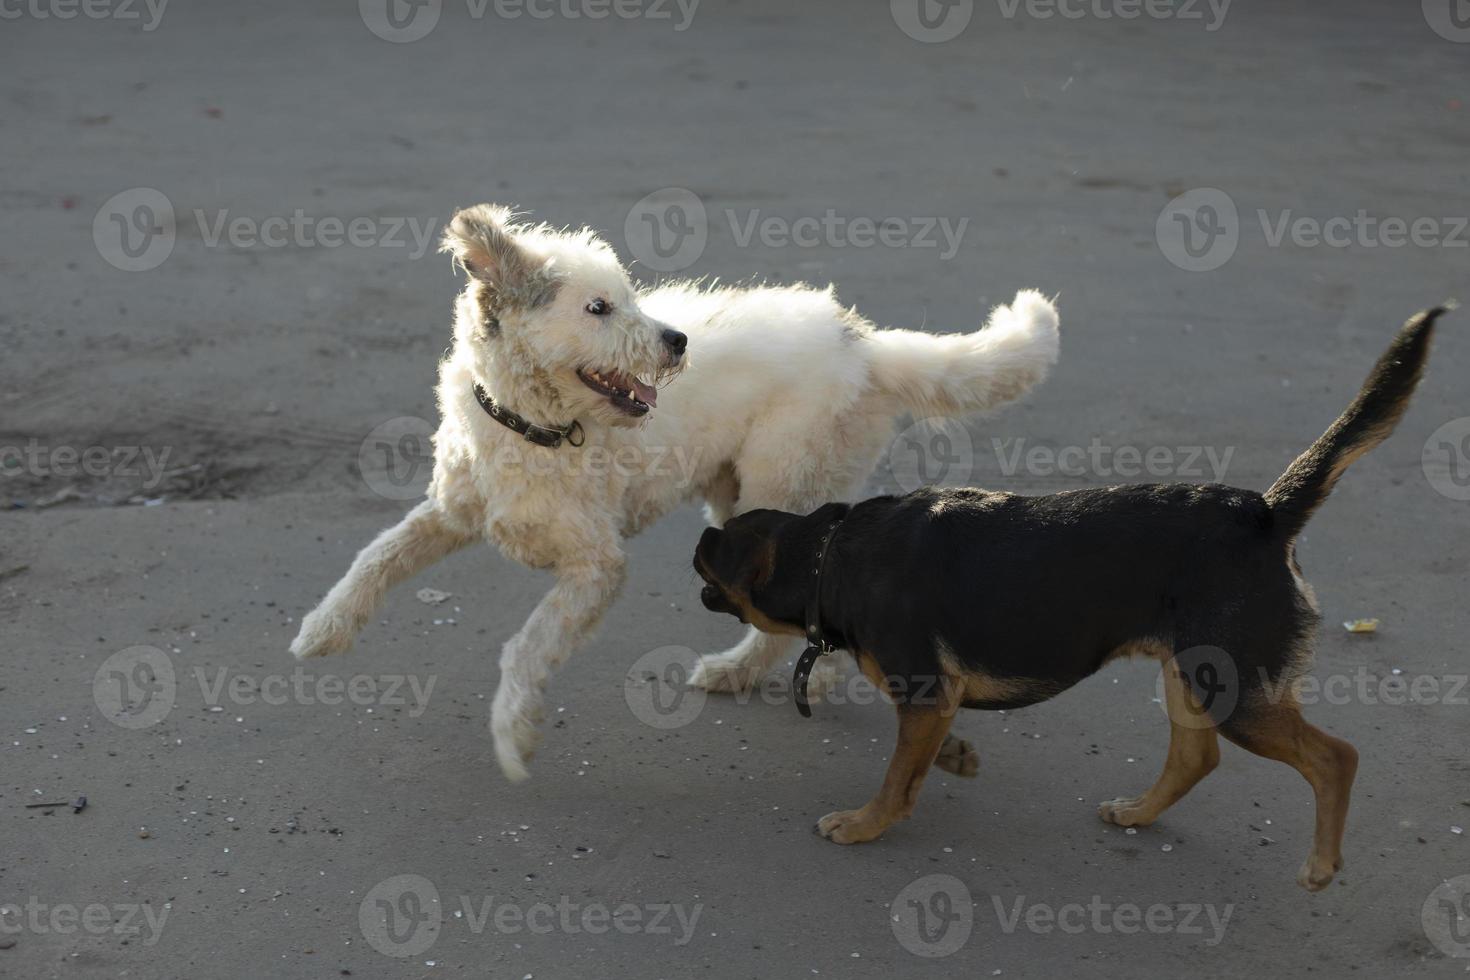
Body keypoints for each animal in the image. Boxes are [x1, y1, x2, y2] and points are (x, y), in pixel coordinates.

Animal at [289, 207, 1058, 781]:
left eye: (628, 299)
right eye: (598, 308)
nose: (678, 341)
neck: (535, 426)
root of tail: (866, 349)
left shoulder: (595, 568)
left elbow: (527, 646)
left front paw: (512, 734)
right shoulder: (452, 515)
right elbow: (377, 556)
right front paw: (324, 628)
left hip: (780, 490)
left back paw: (755, 672)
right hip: (741, 497)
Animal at [693, 304, 1452, 887]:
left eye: (719, 551)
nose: (696, 540)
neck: (831, 552)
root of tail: (1263, 513)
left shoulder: (925, 689)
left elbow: (895, 780)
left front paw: (863, 824)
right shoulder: (933, 698)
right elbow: (918, 755)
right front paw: (952, 758)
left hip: (1238, 692)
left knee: (1335, 758)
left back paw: (1321, 864)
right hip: (1195, 673)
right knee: (1196, 758)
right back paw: (1139, 813)